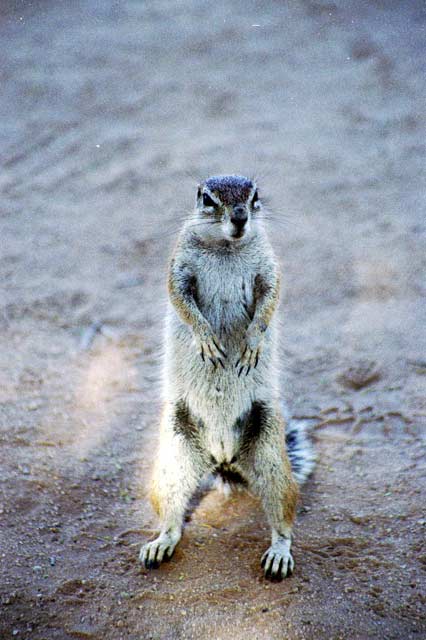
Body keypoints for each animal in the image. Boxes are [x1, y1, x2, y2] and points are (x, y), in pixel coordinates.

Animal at [139, 175, 315, 580]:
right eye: (207, 198)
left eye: (254, 197)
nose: (238, 218)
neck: (225, 248)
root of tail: (222, 459)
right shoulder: (179, 266)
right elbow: (181, 299)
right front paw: (206, 339)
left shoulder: (268, 266)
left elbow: (270, 298)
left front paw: (251, 342)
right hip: (171, 461)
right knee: (172, 517)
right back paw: (160, 543)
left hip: (272, 459)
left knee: (283, 517)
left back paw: (279, 553)